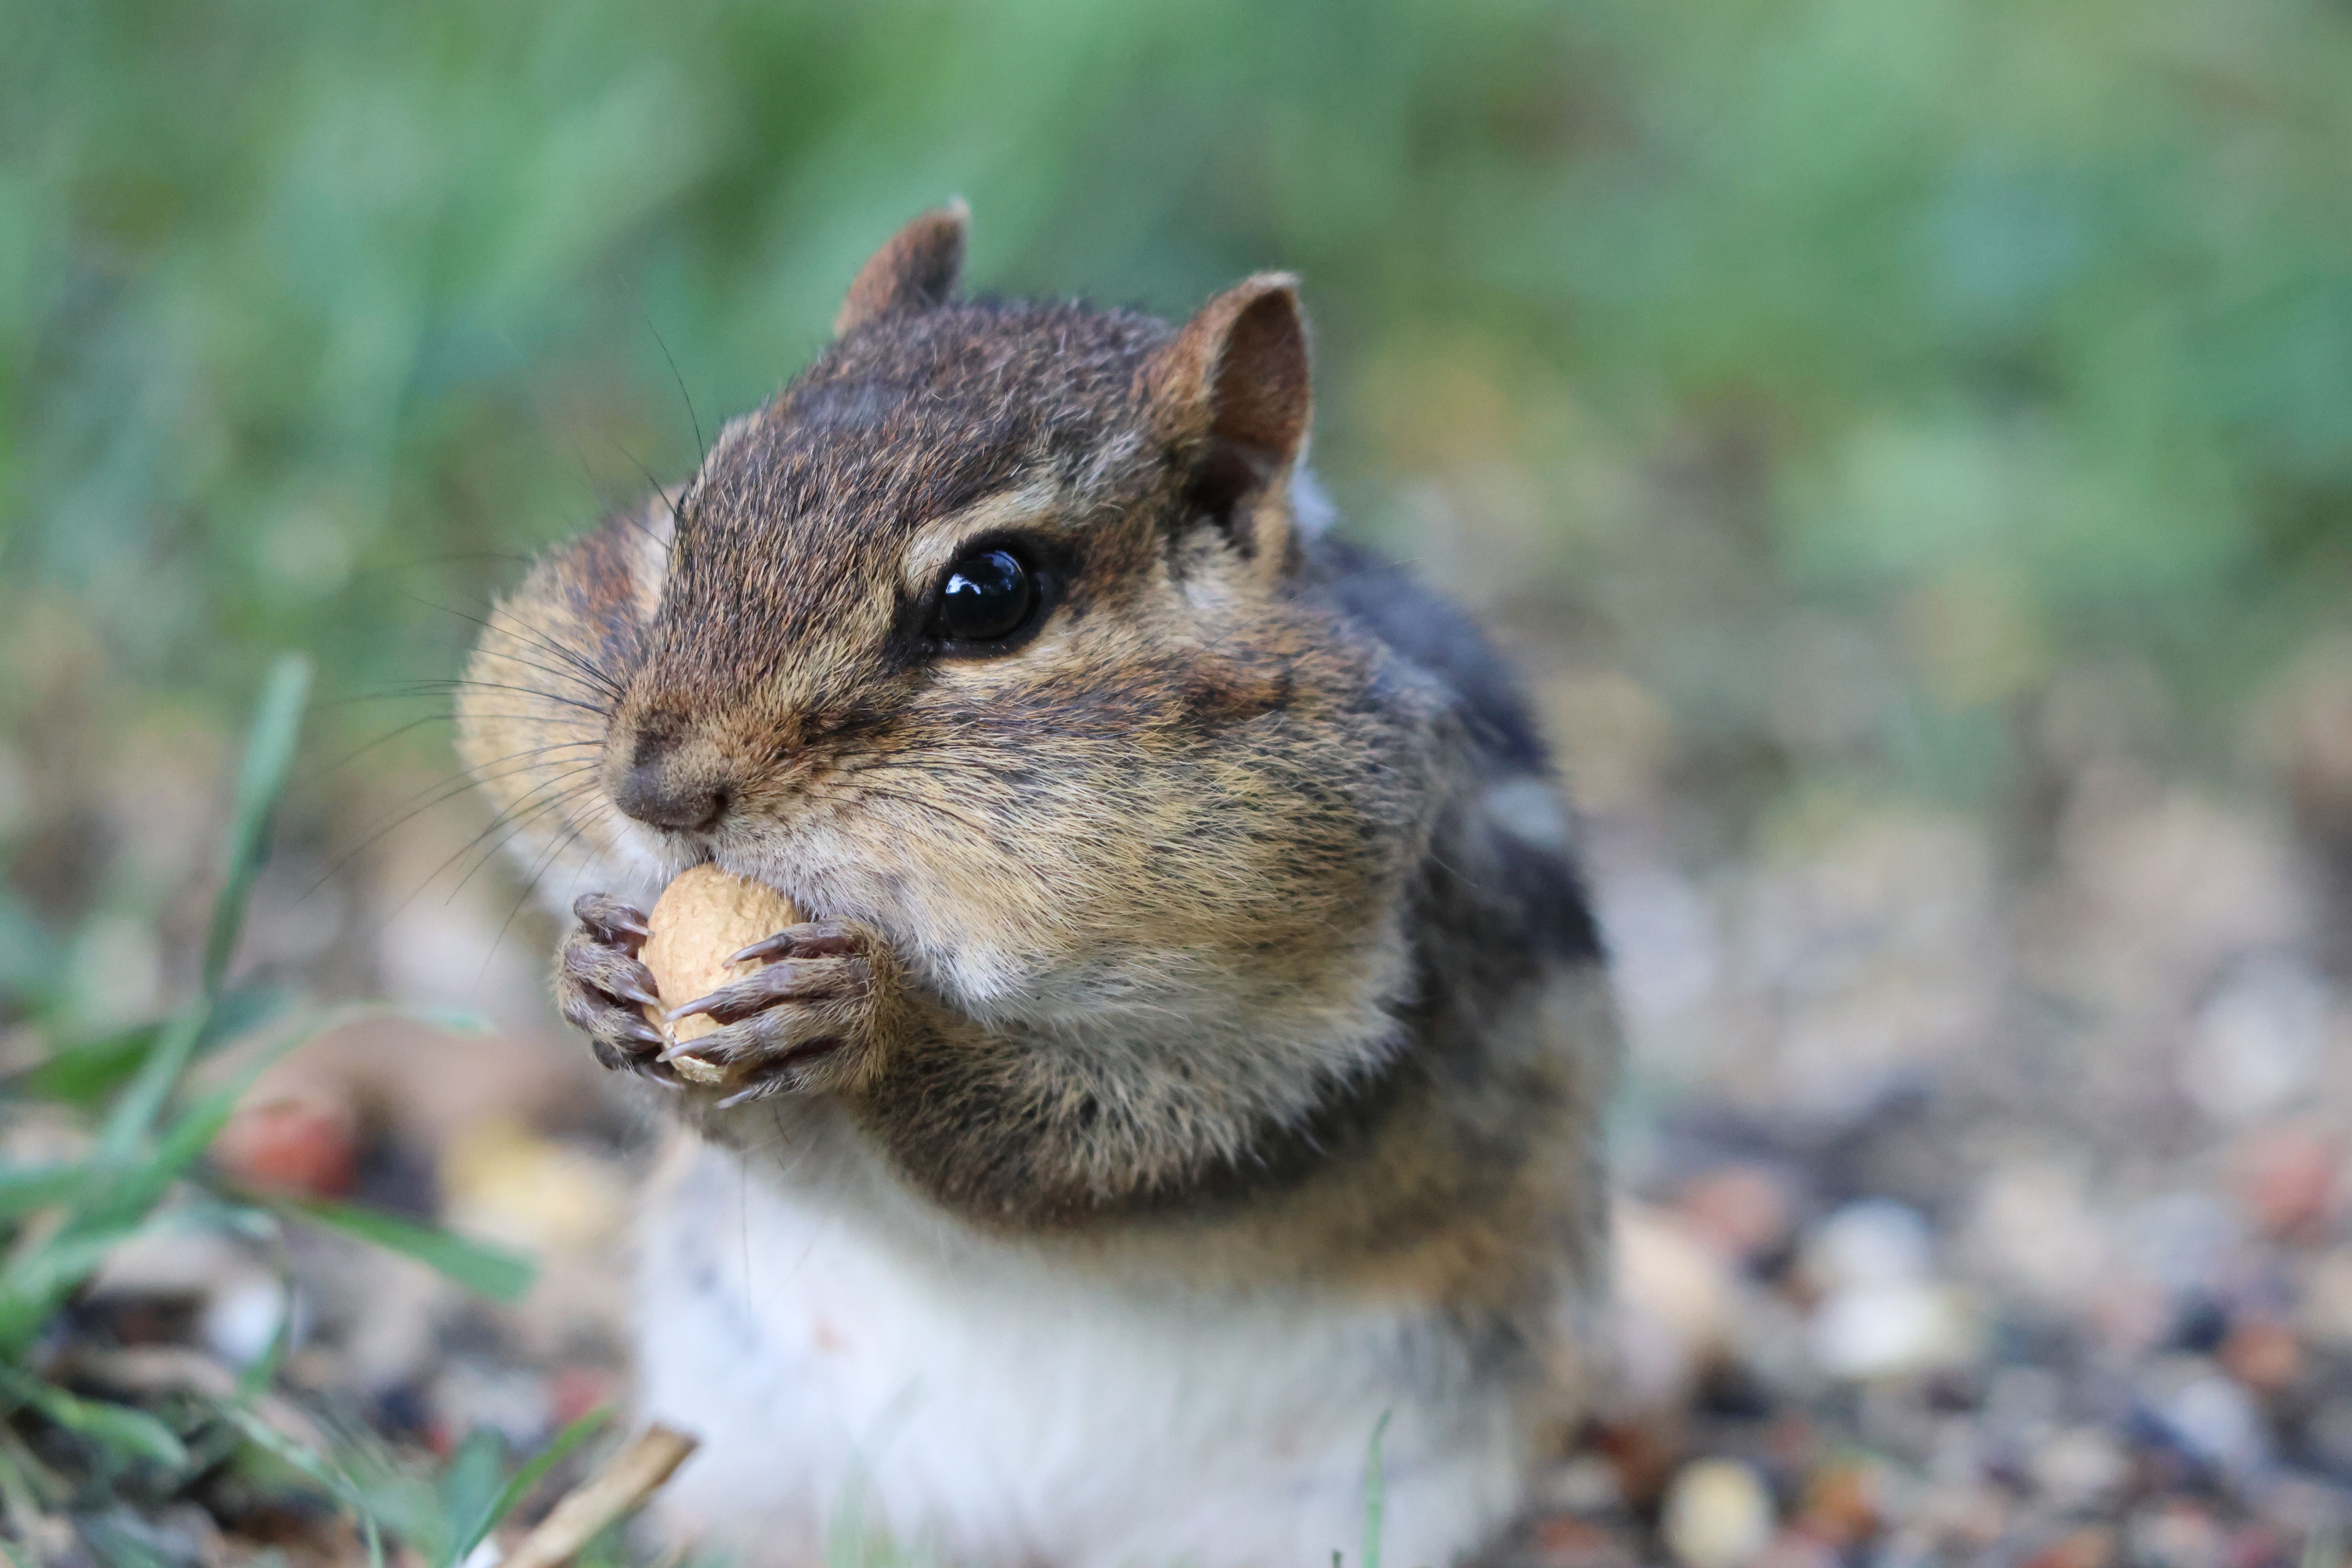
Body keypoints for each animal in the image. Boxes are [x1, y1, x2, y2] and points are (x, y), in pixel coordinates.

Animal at [456, 203, 1619, 1568]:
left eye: (990, 592)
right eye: (688, 514)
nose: (649, 787)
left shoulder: (1322, 1028)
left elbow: (1115, 1136)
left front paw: (875, 1021)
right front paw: (588, 973)